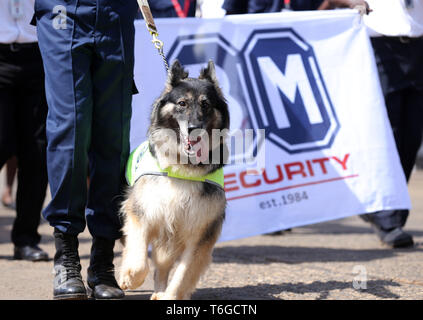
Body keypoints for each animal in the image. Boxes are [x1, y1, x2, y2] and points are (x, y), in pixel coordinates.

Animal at [119, 58, 230, 300]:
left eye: (206, 105)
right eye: (181, 103)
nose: (194, 129)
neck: (183, 167)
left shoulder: (199, 235)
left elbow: (182, 275)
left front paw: (169, 296)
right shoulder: (142, 214)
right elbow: (139, 259)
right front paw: (129, 278)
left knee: (162, 271)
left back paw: (159, 293)